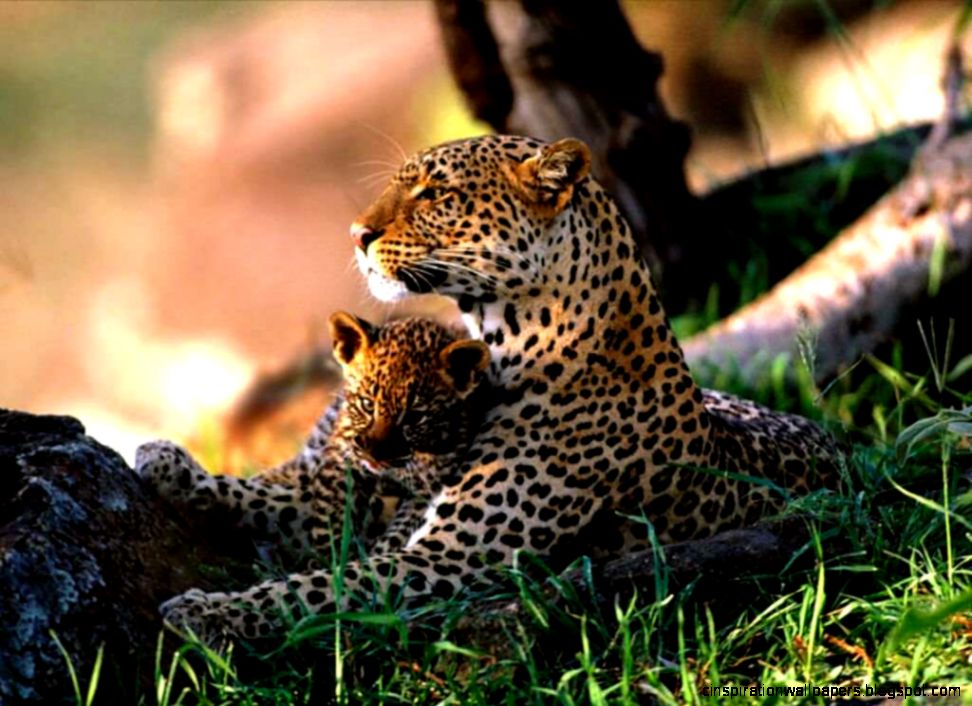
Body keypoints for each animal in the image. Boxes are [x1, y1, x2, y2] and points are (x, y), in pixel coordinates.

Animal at [137, 311, 491, 569]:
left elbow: (268, 499)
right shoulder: (322, 464)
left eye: (415, 417)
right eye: (367, 404)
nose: (375, 457)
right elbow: (263, 489)